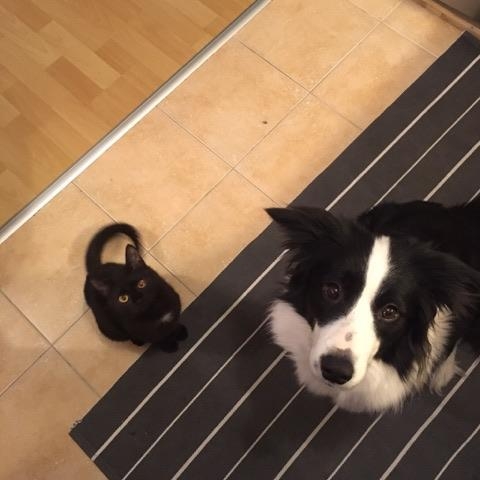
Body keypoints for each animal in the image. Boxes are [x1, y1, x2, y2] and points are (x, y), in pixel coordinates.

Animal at [84, 223, 187, 351]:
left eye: (141, 284)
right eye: (123, 298)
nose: (138, 298)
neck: (155, 311)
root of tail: (95, 269)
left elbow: (173, 325)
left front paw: (180, 331)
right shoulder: (144, 332)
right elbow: (159, 339)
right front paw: (169, 346)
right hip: (109, 327)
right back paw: (137, 342)